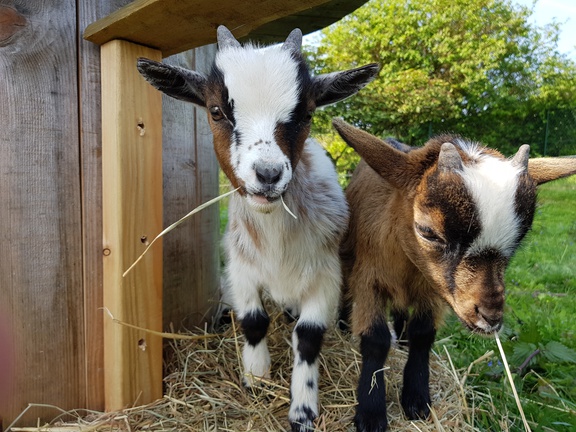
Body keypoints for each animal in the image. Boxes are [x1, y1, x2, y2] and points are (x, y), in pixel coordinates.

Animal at [135, 28, 378, 430]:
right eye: (216, 110)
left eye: (307, 112)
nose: (267, 174)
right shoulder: (241, 269)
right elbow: (253, 321)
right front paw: (256, 377)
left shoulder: (325, 275)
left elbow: (309, 337)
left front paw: (303, 410)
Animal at [332, 117, 576, 432]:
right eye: (428, 232)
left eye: (520, 239)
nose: (490, 316)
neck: (408, 264)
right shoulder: (368, 280)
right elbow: (375, 340)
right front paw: (371, 413)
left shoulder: (433, 290)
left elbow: (423, 333)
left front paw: (417, 399)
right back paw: (342, 326)